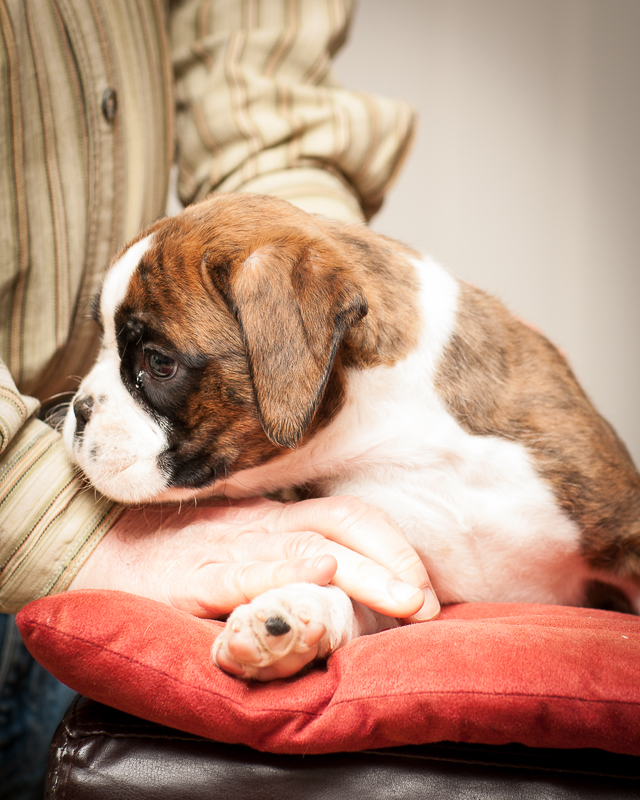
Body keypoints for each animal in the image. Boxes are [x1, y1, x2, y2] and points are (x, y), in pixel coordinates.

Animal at [61, 191, 640, 680]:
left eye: (159, 363)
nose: (78, 411)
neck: (400, 423)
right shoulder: (399, 576)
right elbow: (344, 589)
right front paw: (289, 613)